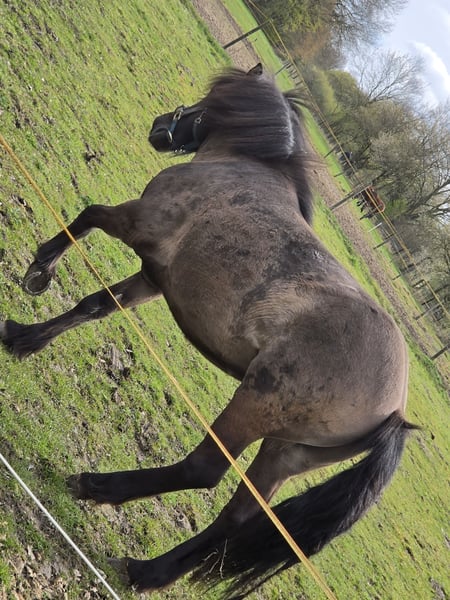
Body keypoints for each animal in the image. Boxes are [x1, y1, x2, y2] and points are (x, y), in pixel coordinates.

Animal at [0, 66, 416, 598]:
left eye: (206, 102)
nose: (161, 127)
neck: (242, 167)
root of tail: (395, 410)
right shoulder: (155, 277)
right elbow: (93, 306)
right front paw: (23, 338)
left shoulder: (136, 222)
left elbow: (88, 216)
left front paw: (40, 270)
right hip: (287, 452)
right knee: (236, 517)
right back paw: (145, 570)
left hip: (253, 406)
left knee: (203, 471)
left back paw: (98, 487)